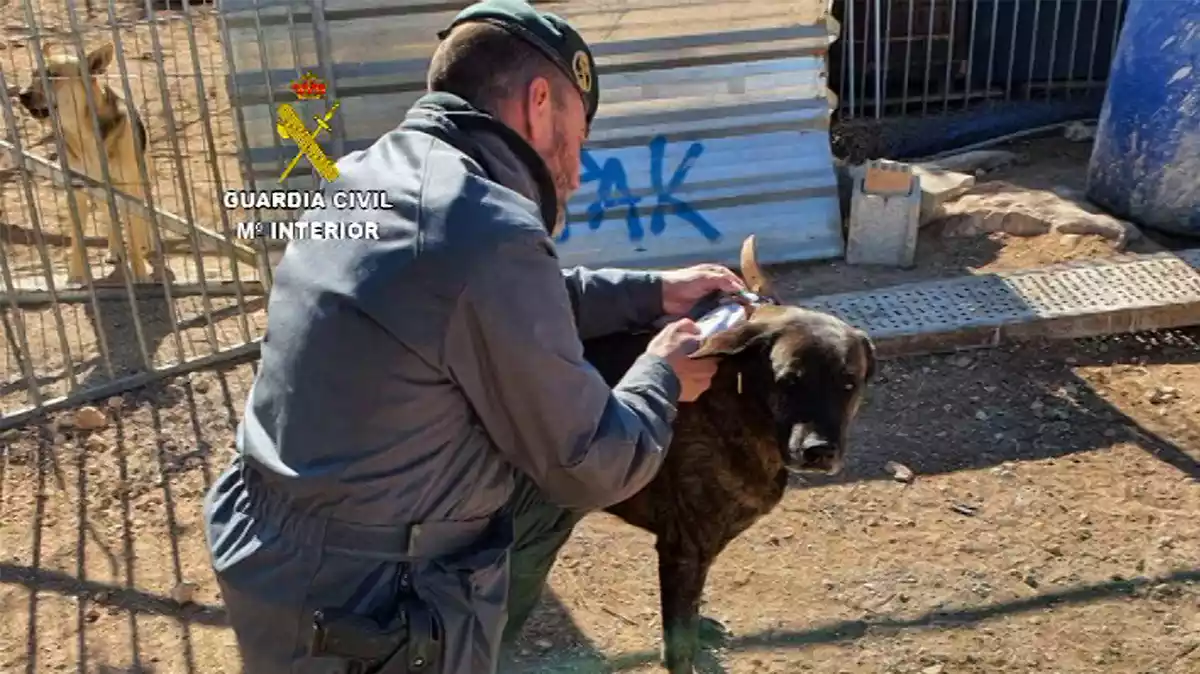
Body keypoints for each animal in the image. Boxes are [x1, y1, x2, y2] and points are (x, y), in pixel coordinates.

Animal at [585, 236, 878, 671]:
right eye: (788, 381)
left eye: (848, 383)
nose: (819, 451)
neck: (740, 397)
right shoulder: (683, 549)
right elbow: (680, 639)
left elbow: (690, 614)